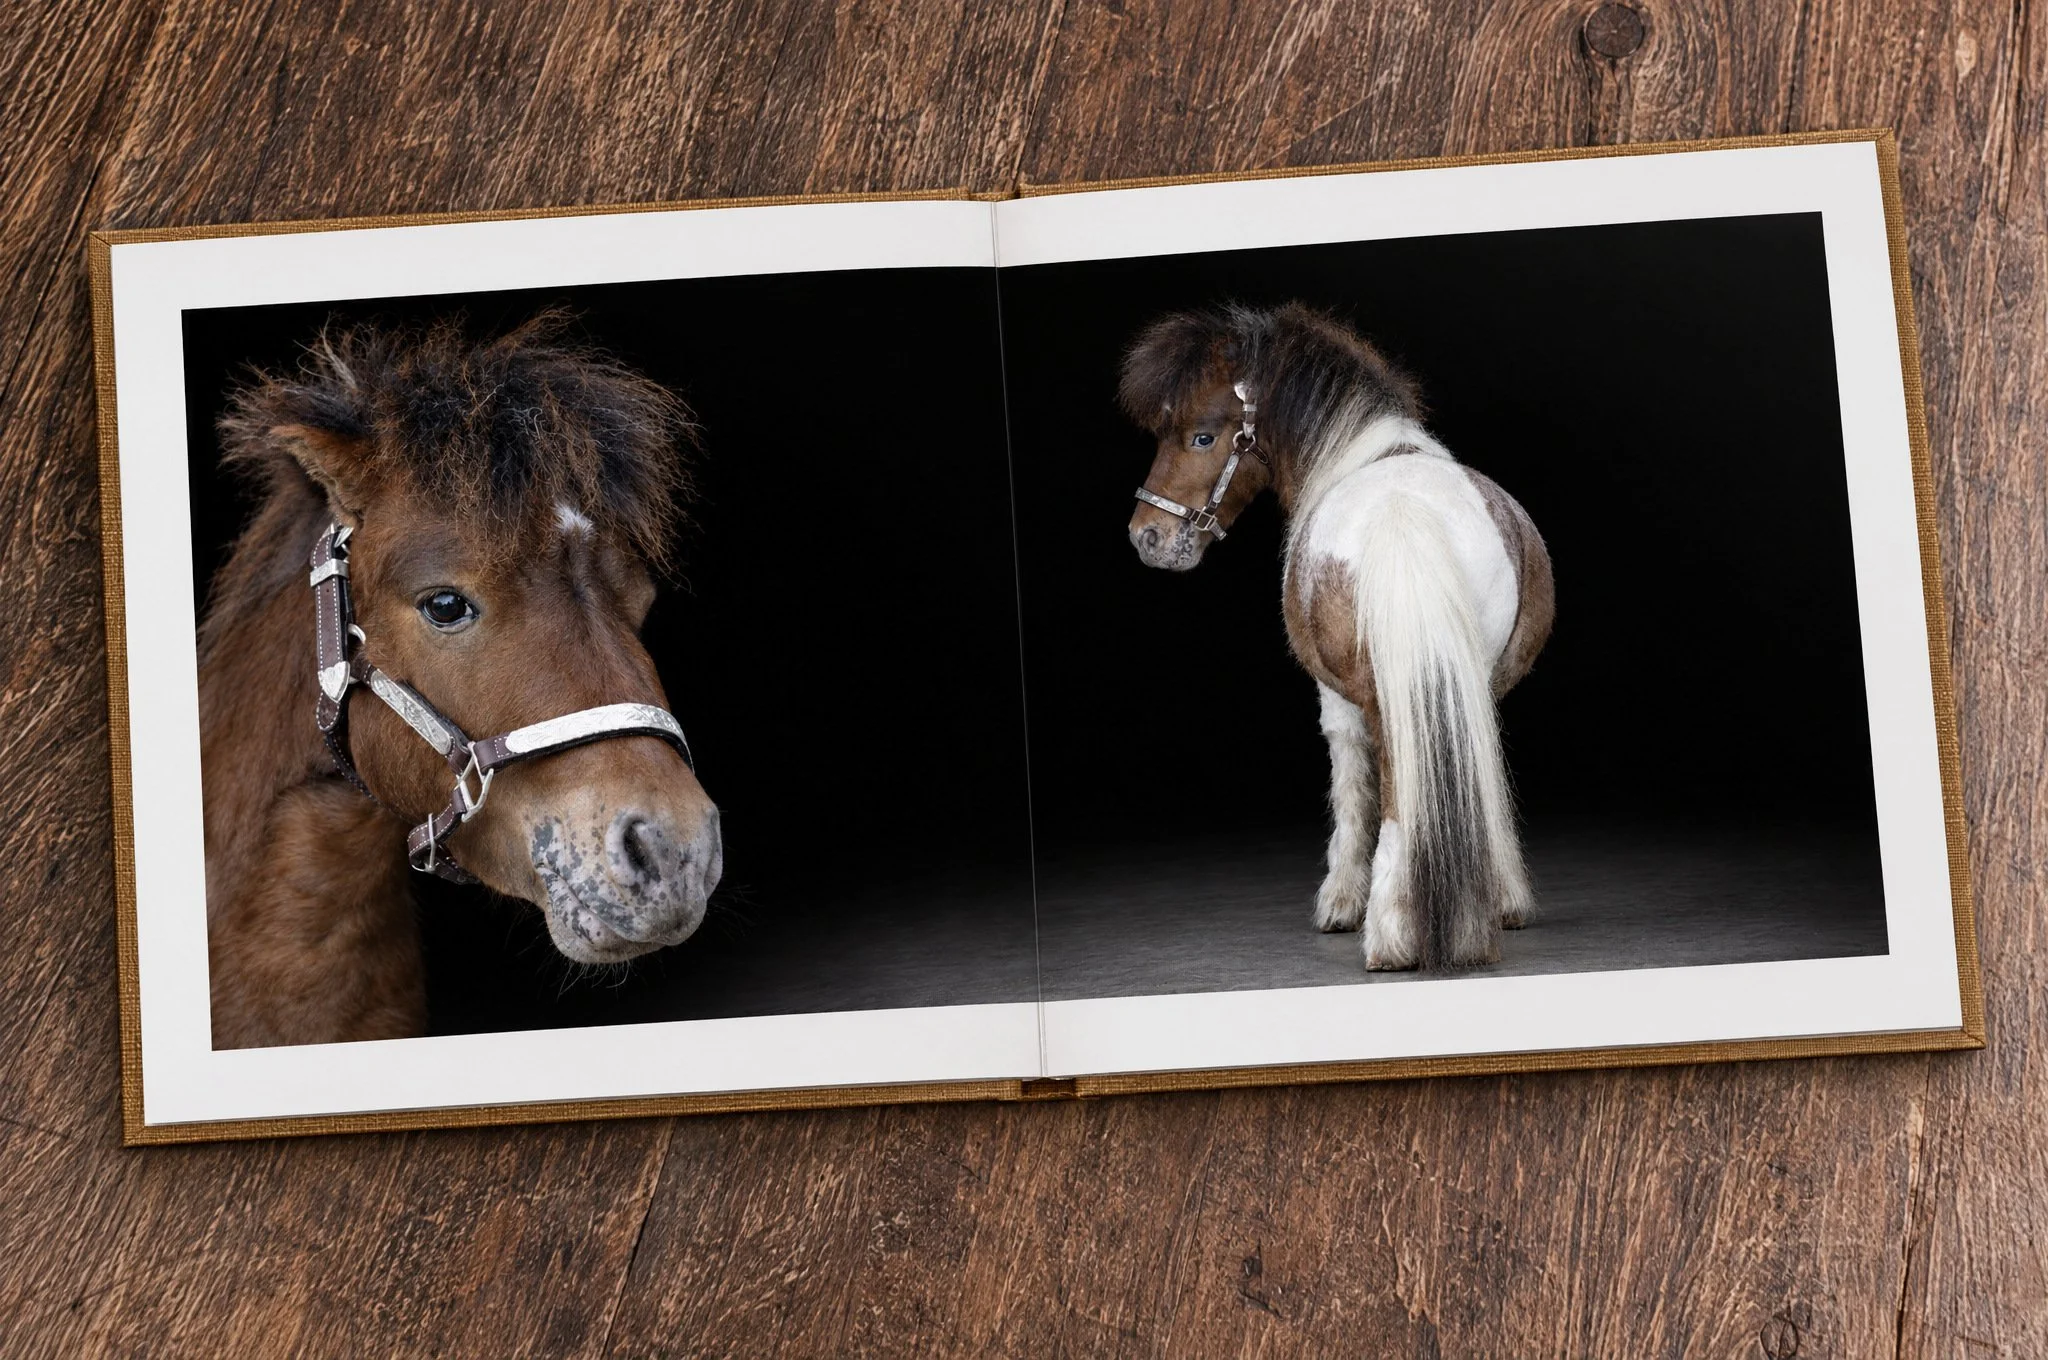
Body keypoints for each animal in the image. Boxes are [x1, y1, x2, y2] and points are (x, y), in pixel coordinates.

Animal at [1121, 303, 1554, 971]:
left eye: (1202, 436)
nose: (1147, 536)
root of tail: (1404, 512)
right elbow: (1484, 781)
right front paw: (1505, 900)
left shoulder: (1336, 696)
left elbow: (1350, 777)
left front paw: (1341, 902)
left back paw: (1392, 933)